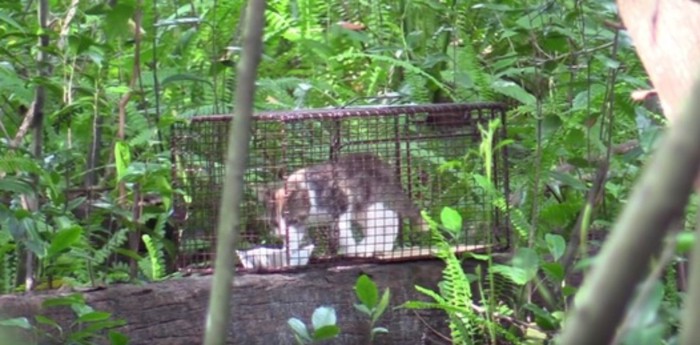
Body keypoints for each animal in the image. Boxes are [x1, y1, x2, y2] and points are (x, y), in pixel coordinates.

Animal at [258, 152, 426, 262]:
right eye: (274, 223)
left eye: (291, 220)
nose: (281, 235)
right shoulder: (301, 224)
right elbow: (294, 237)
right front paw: (286, 254)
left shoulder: (342, 203)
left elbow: (343, 232)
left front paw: (353, 251)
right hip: (361, 210)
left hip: (372, 202)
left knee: (386, 221)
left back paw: (370, 247)